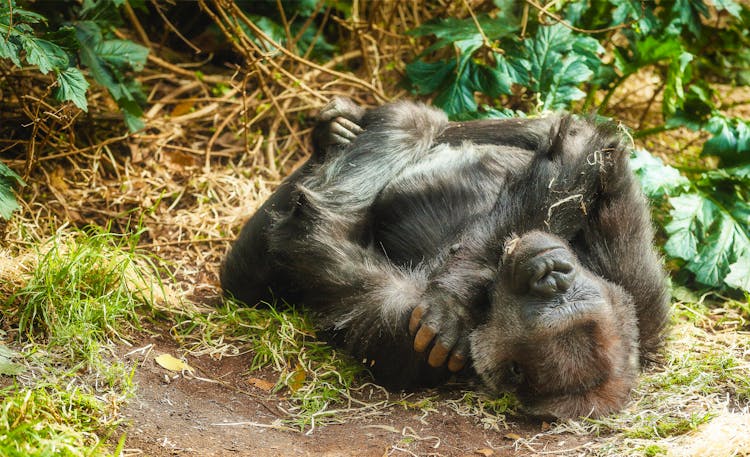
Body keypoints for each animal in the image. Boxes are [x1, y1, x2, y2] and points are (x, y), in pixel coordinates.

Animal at [220, 98, 672, 418]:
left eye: (552, 301)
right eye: (566, 289)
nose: (550, 273)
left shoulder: (401, 322)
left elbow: (320, 235)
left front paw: (452, 301)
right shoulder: (637, 289)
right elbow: (585, 152)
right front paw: (457, 296)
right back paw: (336, 129)